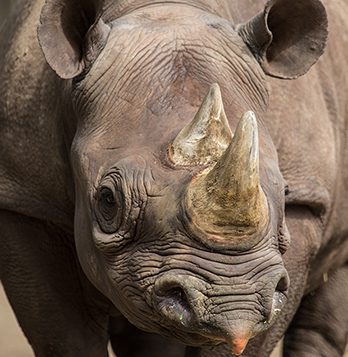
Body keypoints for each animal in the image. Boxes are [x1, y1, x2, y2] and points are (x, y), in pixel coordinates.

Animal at [0, 0, 348, 354]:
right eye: (108, 200)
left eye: (285, 192)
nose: (232, 300)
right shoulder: (25, 197)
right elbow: (66, 336)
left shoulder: (304, 206)